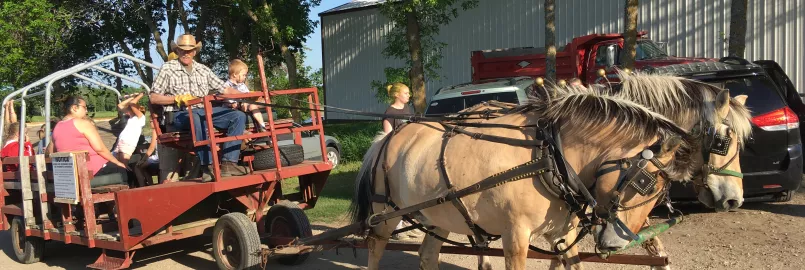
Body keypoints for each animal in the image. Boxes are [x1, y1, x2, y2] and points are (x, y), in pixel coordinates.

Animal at [348, 87, 696, 270]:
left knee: (428, 254)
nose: (616, 243)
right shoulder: (515, 237)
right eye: (644, 183)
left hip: (437, 213)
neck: (548, 155)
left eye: (660, 196)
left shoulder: (562, 234)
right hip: (385, 213)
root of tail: (389, 137)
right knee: (376, 247)